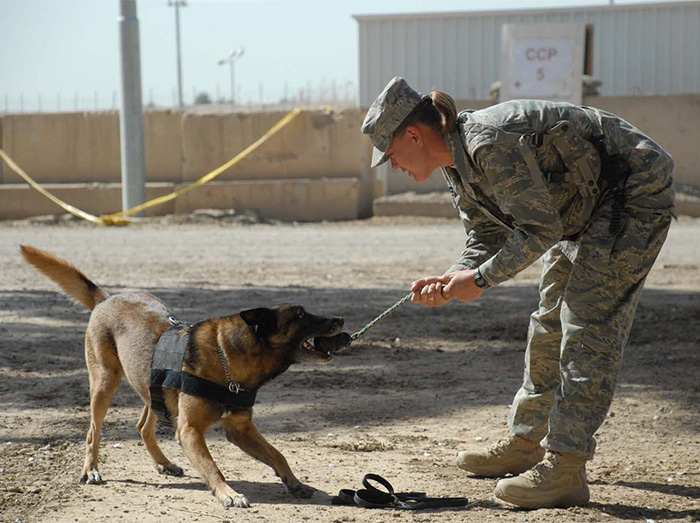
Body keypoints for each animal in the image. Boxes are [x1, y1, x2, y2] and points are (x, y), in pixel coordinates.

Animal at [20, 246, 350, 508]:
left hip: (153, 388)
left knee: (143, 426)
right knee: (93, 432)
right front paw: (228, 493)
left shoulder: (240, 429)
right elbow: (212, 466)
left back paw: (163, 463)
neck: (228, 356)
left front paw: (294, 483)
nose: (341, 320)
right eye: (300, 315)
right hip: (104, 384)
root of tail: (106, 299)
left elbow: (278, 454)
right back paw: (91, 469)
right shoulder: (190, 430)